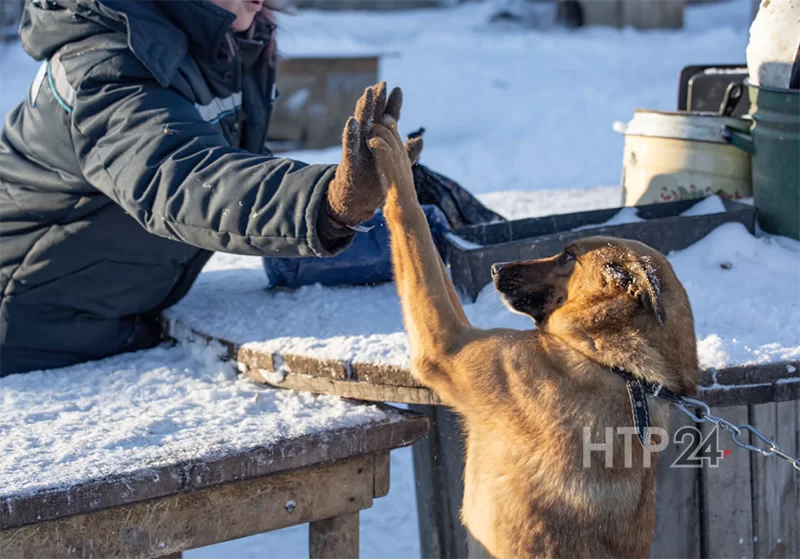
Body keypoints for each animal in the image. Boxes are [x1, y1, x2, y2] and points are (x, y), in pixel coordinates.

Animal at [370, 115, 700, 559]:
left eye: (567, 256)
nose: (495, 268)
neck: (618, 368)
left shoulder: (446, 343)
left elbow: (411, 223)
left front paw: (396, 158)